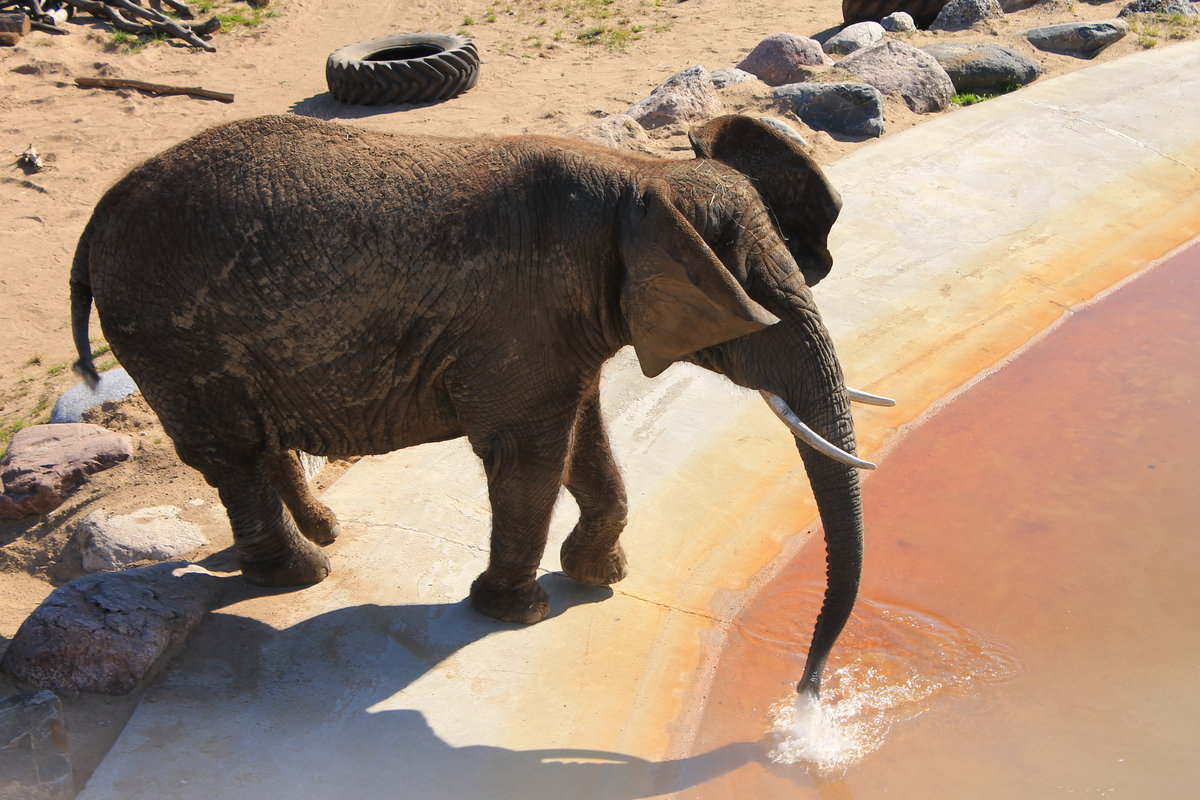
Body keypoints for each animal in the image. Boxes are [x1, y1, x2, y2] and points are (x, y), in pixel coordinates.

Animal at [70, 113, 889, 698]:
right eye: (761, 303)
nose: (807, 693)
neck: (642, 180)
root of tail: (97, 218)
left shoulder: (561, 324)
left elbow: (581, 435)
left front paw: (600, 577)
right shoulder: (522, 314)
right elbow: (530, 453)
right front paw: (518, 613)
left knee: (255, 442)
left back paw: (323, 534)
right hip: (172, 336)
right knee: (233, 454)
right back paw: (300, 575)